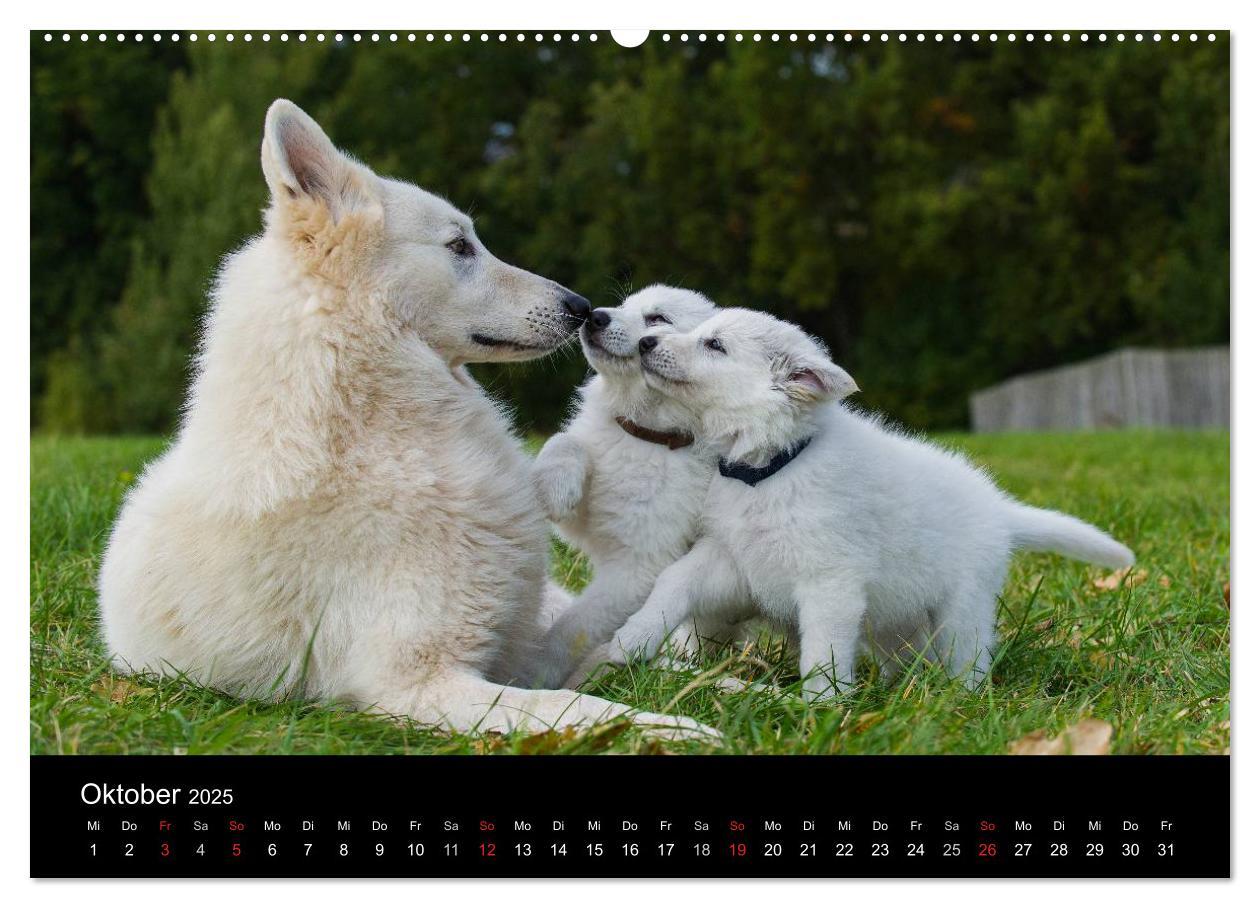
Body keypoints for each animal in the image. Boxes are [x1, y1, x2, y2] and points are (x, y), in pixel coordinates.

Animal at [94, 97, 715, 735]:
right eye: (460, 246)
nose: (582, 307)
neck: (368, 427)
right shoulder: (419, 682)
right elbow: (580, 708)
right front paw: (677, 730)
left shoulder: (515, 644)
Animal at [607, 308, 1134, 700]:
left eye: (714, 345)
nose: (646, 343)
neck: (770, 467)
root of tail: (998, 509)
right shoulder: (731, 556)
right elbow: (674, 582)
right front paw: (631, 639)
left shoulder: (830, 581)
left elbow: (822, 651)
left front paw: (819, 708)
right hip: (895, 620)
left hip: (961, 609)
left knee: (967, 658)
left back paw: (957, 701)